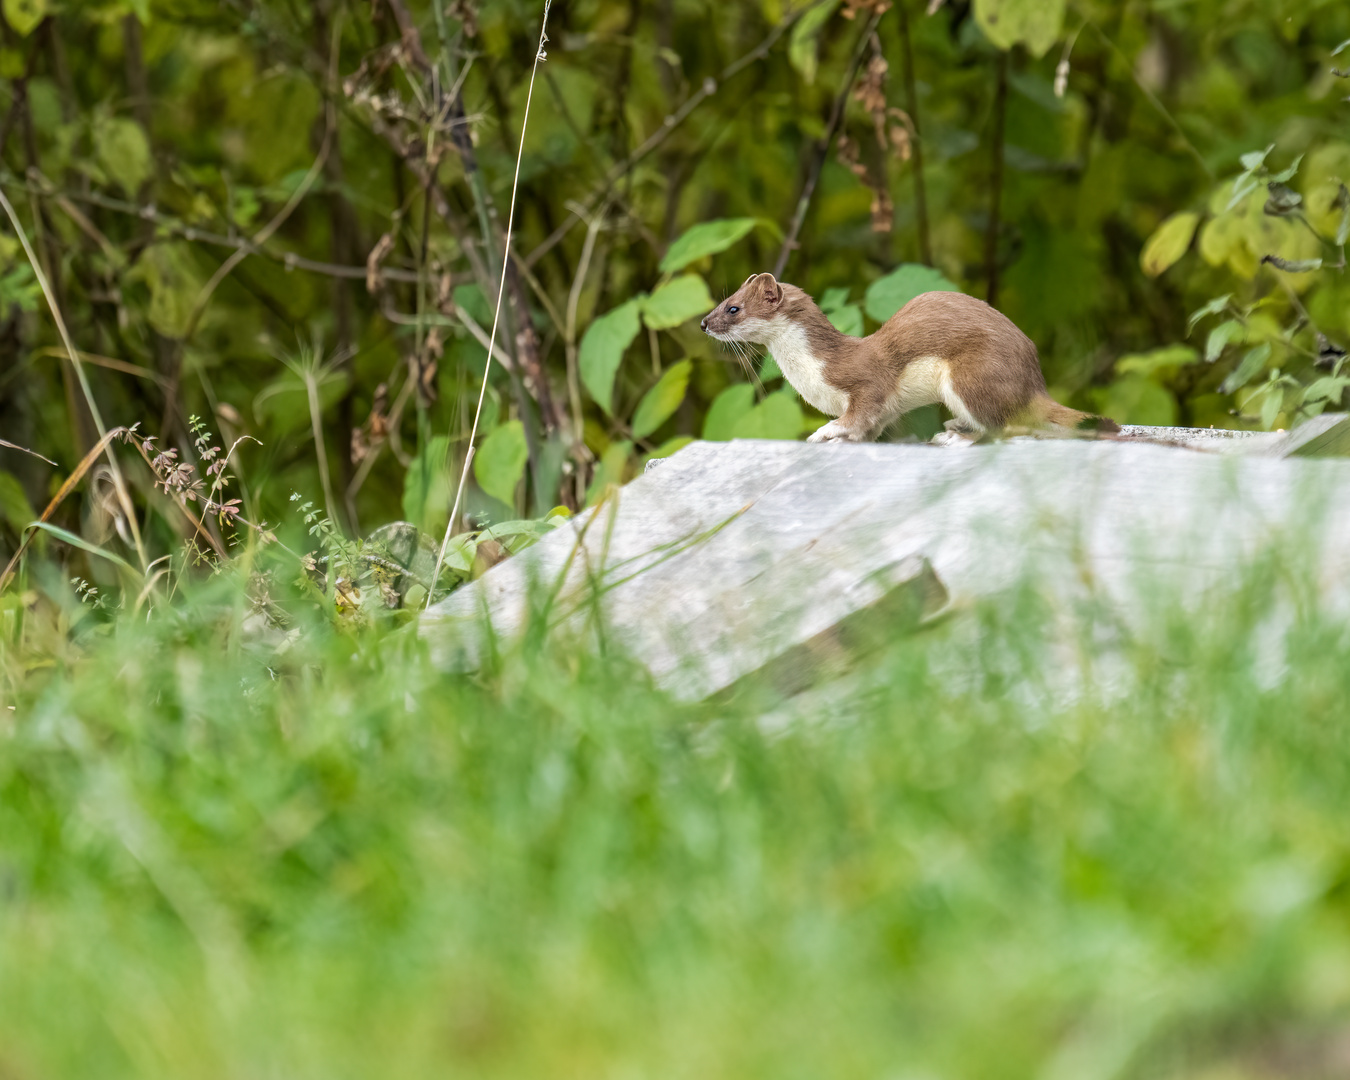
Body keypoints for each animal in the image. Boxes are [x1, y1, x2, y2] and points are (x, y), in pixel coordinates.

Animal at [696, 274, 1117, 442]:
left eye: (733, 308)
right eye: (722, 299)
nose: (703, 323)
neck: (814, 375)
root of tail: (1035, 381)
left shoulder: (865, 384)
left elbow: (856, 415)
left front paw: (825, 431)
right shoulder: (885, 412)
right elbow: (869, 429)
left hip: (969, 374)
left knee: (1006, 426)